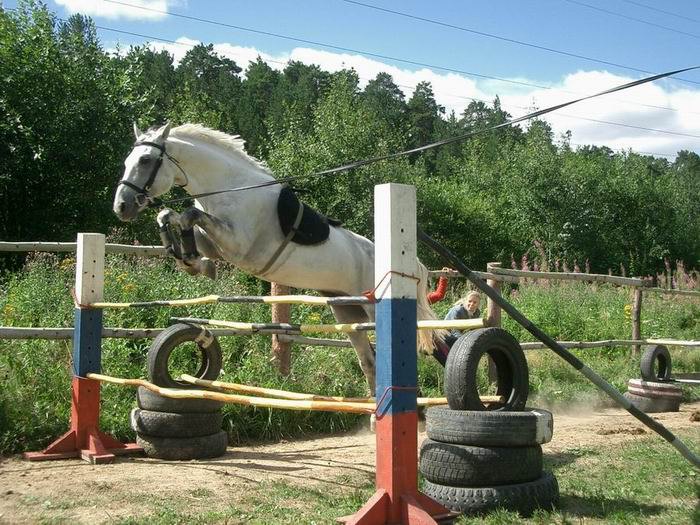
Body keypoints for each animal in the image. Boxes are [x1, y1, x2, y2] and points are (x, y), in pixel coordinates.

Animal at [113, 122, 440, 392]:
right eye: (127, 161)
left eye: (145, 160)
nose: (121, 207)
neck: (233, 188)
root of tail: (410, 264)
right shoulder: (217, 244)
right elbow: (172, 216)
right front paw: (192, 261)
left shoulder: (239, 246)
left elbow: (189, 214)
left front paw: (195, 262)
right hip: (347, 311)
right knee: (368, 361)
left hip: (374, 309)